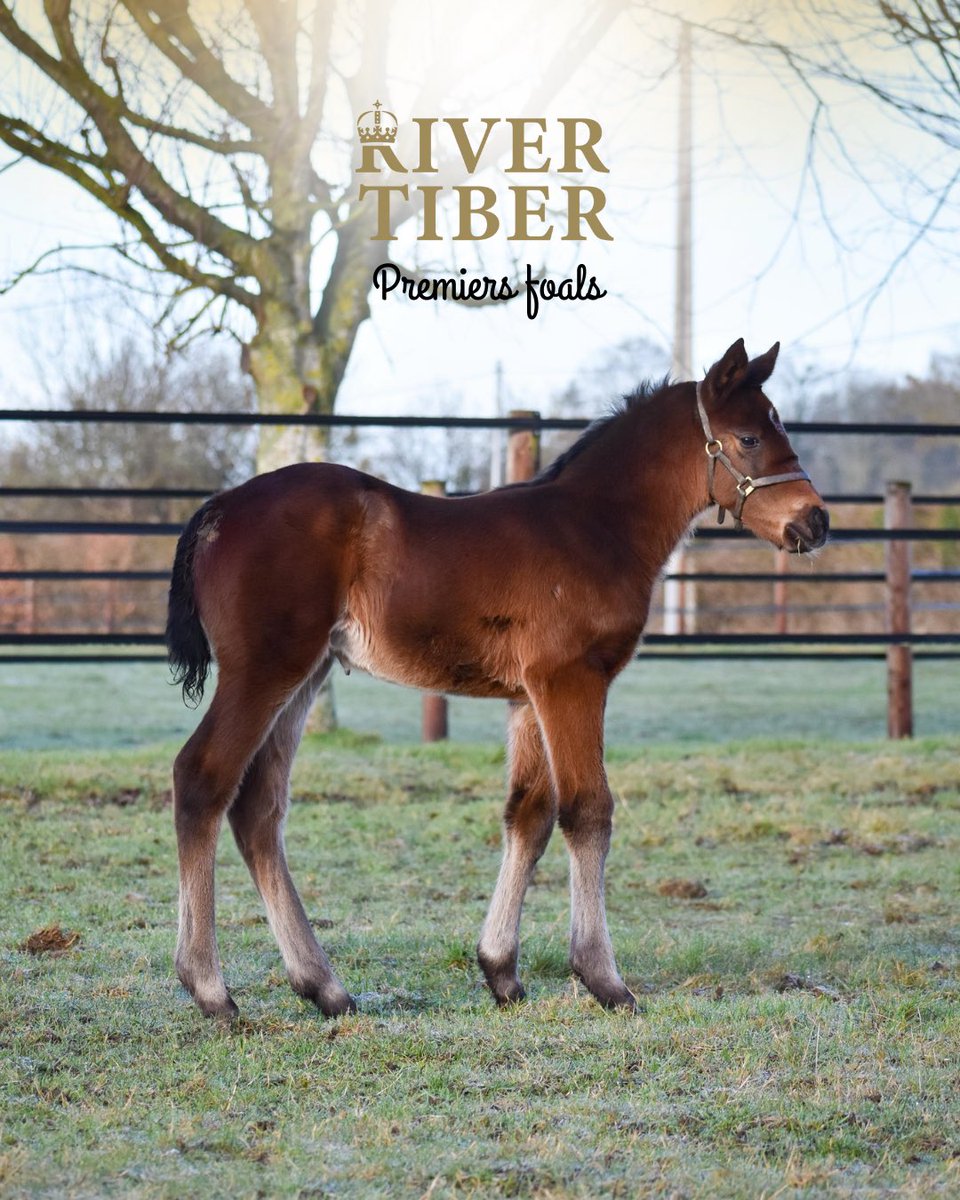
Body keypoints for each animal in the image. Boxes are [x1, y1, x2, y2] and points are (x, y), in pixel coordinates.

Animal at [166, 338, 828, 1019]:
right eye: (749, 437)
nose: (816, 522)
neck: (594, 527)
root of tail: (218, 508)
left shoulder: (529, 696)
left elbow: (529, 815)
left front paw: (501, 972)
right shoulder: (572, 679)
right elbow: (588, 810)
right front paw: (604, 980)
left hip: (304, 678)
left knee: (259, 808)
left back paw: (323, 987)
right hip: (265, 669)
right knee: (202, 777)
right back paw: (210, 988)